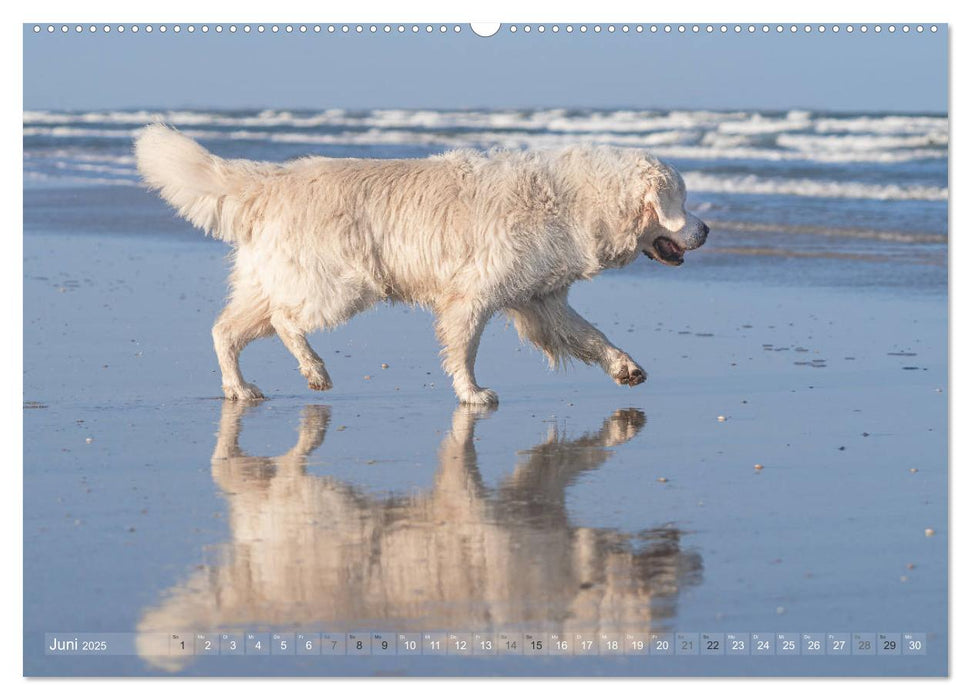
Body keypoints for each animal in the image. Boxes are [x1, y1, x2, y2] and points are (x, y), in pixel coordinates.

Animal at [135, 123, 708, 402]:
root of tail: (273, 180)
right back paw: (314, 370)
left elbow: (589, 335)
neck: (577, 201)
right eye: (681, 200)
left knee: (226, 329)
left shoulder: (540, 299)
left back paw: (239, 388)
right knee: (284, 319)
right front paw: (471, 393)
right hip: (343, 283)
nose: (706, 231)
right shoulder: (473, 294)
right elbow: (464, 348)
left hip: (272, 278)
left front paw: (625, 367)